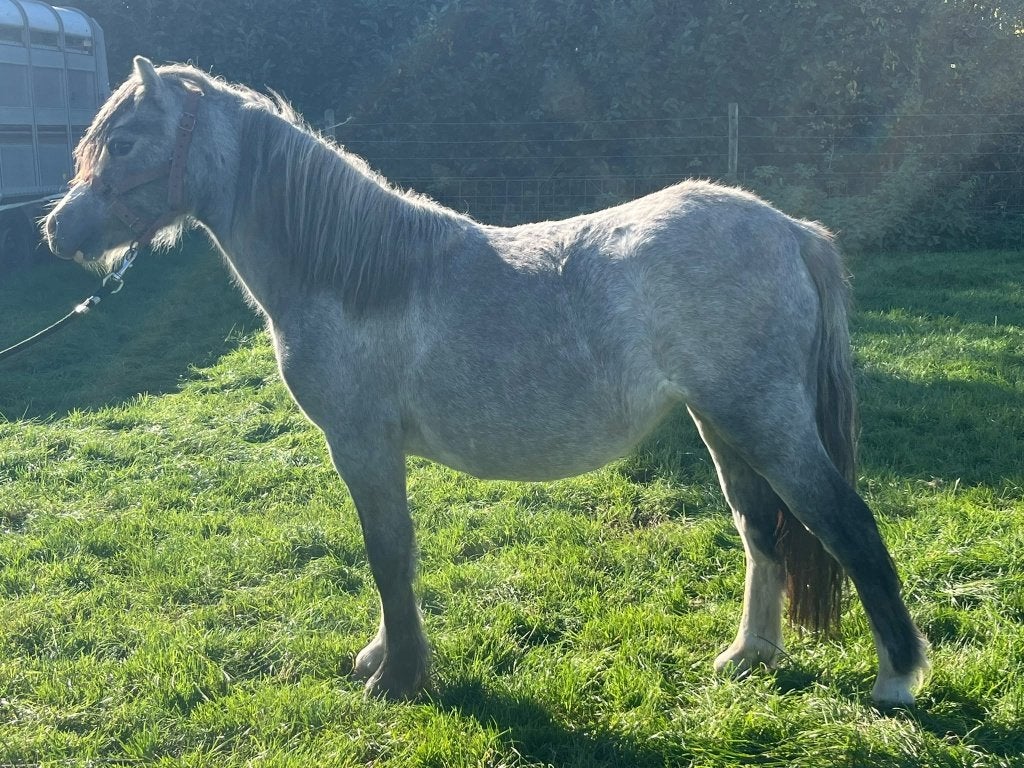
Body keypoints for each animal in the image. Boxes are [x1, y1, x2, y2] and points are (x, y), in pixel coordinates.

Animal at [43, 57, 928, 705]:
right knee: (761, 530)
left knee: (846, 524)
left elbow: (386, 554)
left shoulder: (362, 445)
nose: (59, 229)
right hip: (724, 425)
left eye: (125, 141)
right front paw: (383, 658)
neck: (354, 272)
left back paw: (897, 679)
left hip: (765, 420)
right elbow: (393, 556)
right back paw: (749, 654)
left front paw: (399, 677)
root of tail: (790, 229)